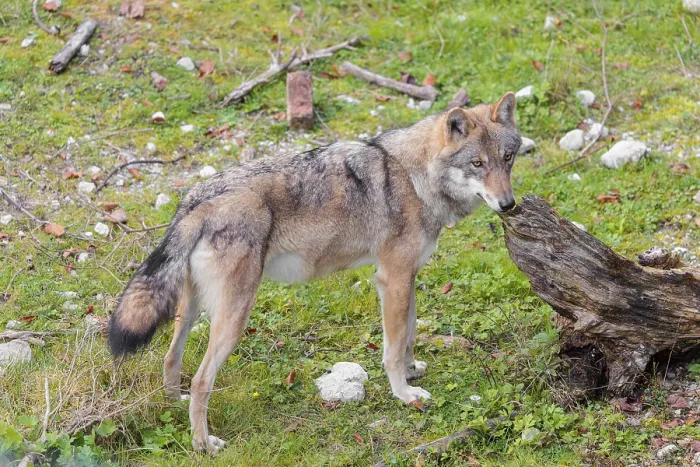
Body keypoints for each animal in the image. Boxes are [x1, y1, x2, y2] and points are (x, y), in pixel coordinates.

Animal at [108, 92, 521, 454]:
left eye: (507, 158)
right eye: (477, 164)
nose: (508, 204)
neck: (415, 176)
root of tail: (195, 199)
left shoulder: (407, 278)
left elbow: (408, 335)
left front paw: (411, 371)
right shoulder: (392, 278)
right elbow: (392, 348)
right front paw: (404, 394)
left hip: (192, 311)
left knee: (170, 357)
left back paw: (173, 403)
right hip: (234, 318)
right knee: (200, 380)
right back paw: (203, 444)